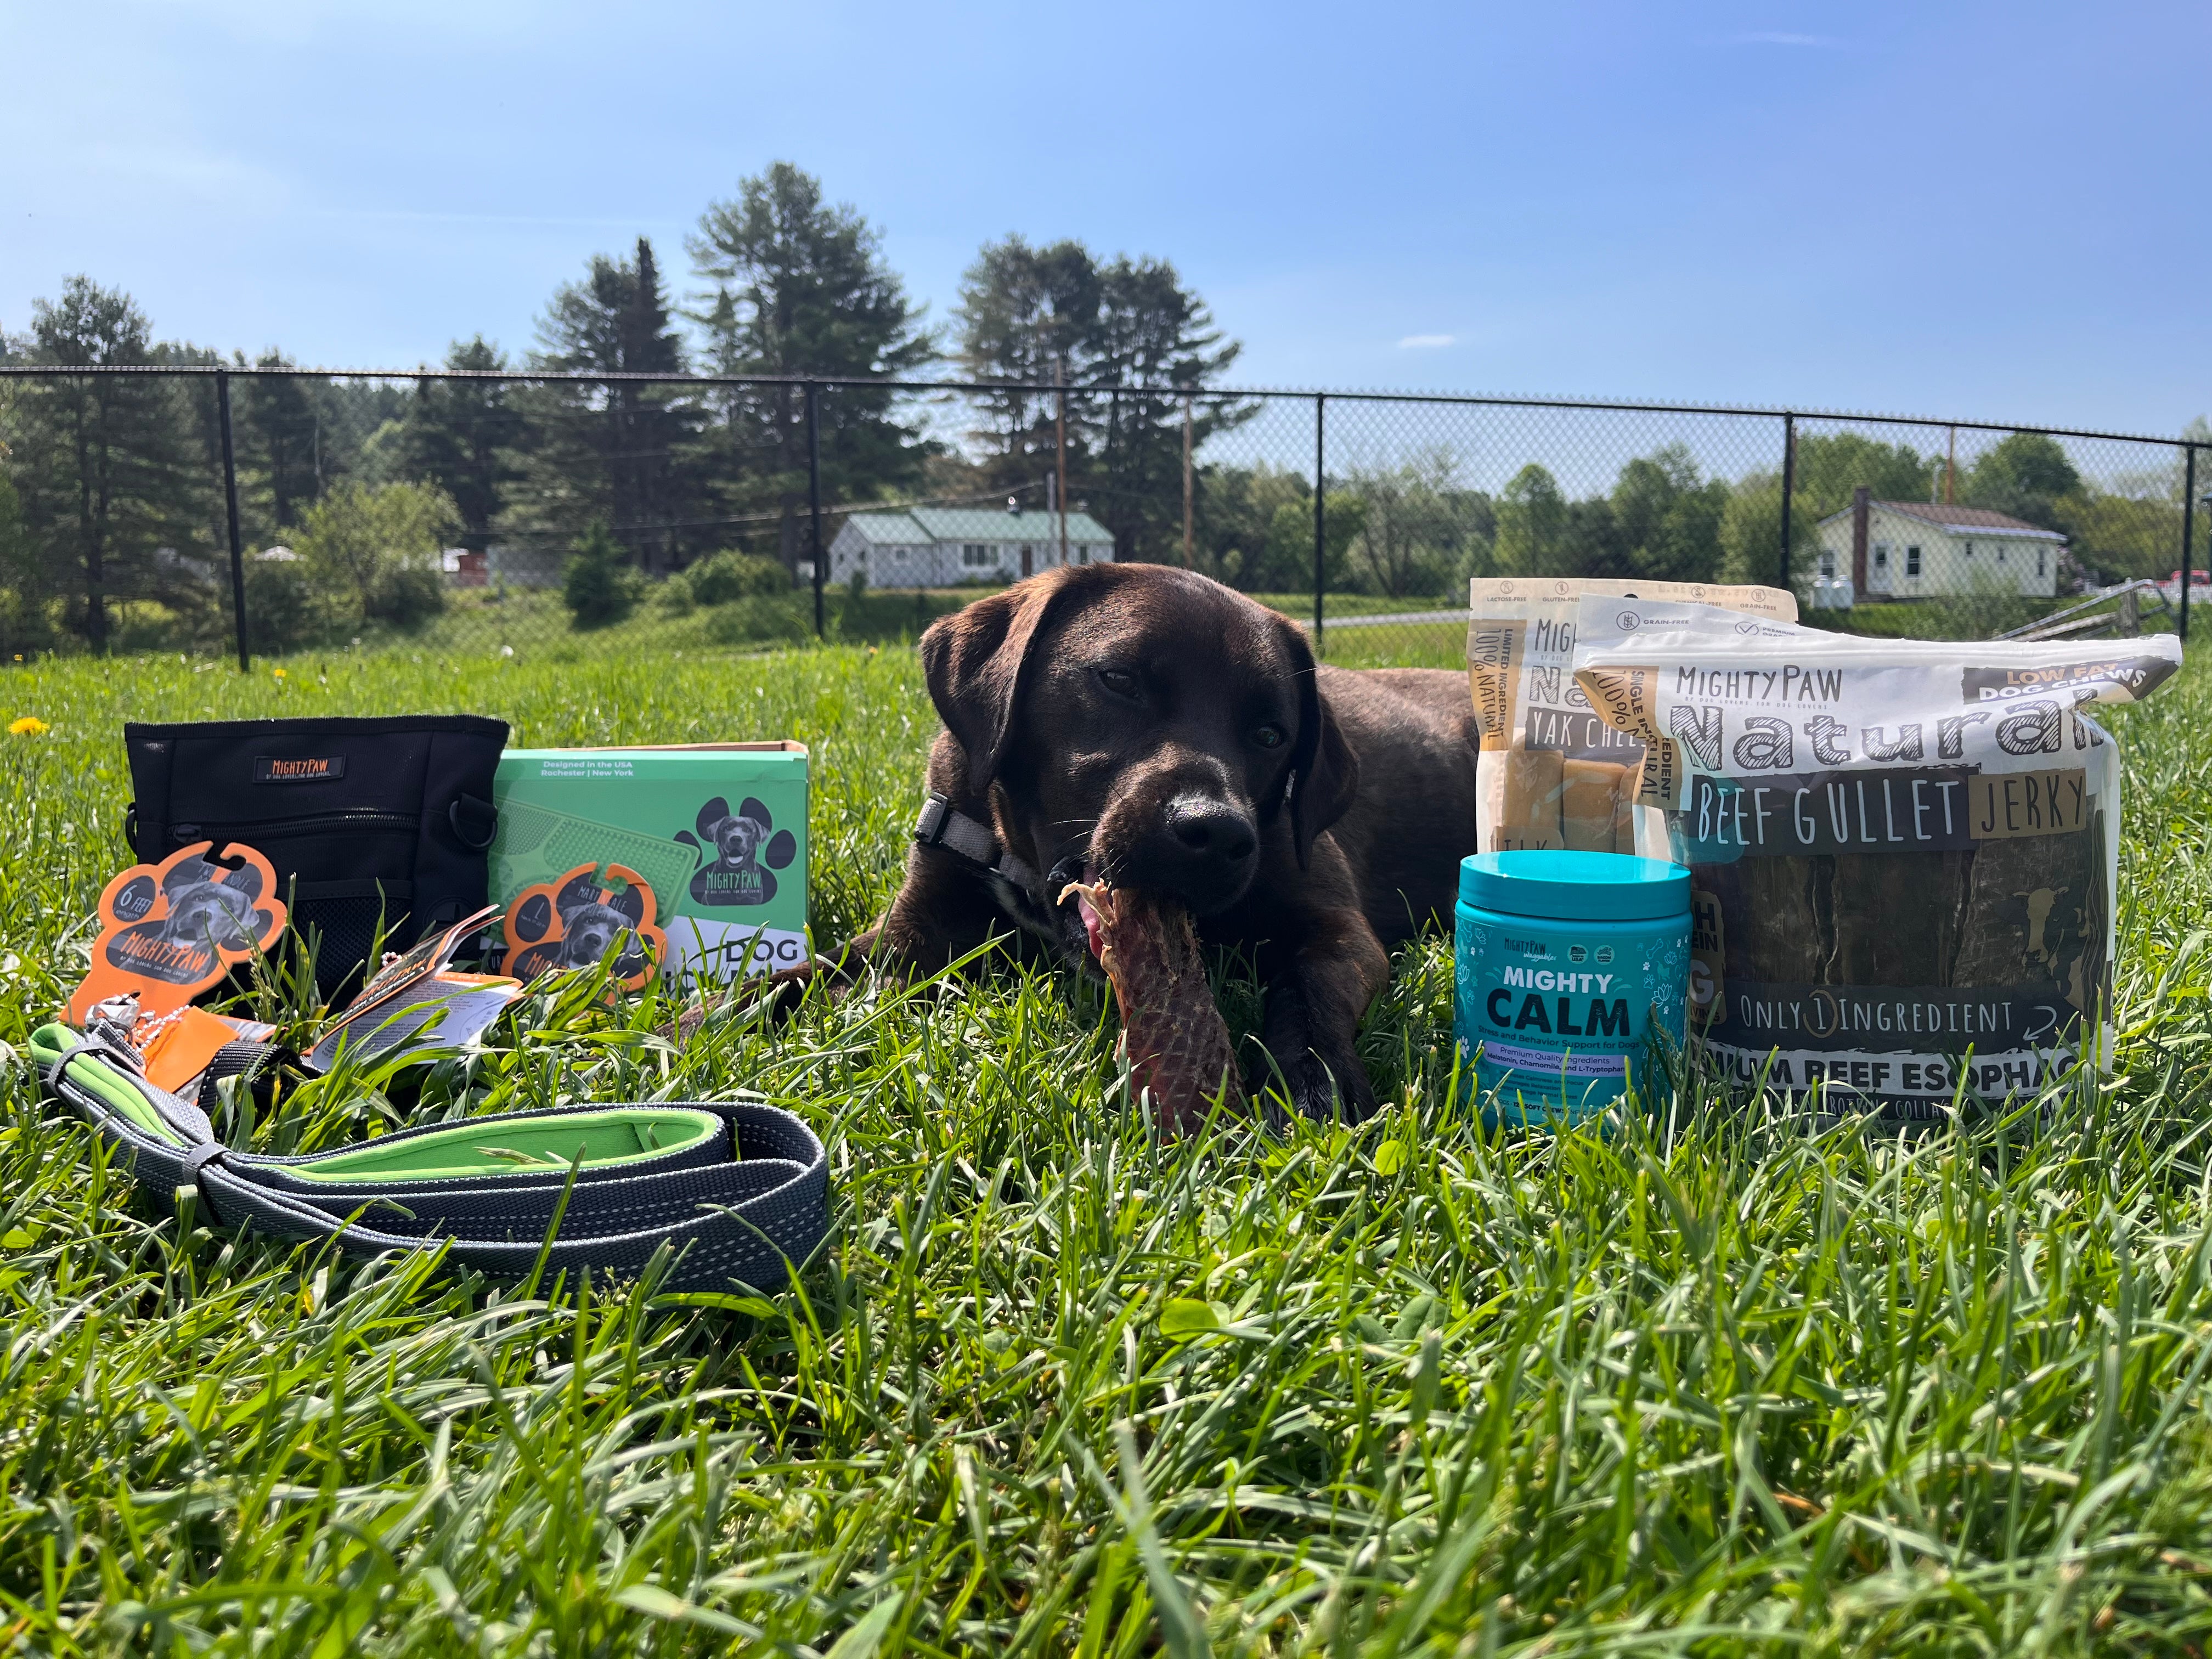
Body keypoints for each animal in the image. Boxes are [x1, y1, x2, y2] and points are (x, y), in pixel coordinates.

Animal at [854, 566, 1477, 1124]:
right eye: (1119, 680)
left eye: (1271, 735)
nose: (1217, 834)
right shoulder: (913, 924)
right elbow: (838, 972)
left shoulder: (1339, 928)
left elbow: (1307, 989)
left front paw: (1310, 1081)